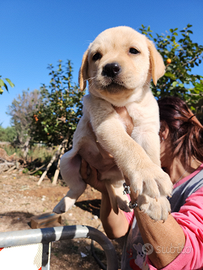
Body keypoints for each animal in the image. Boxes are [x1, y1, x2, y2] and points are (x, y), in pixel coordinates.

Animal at [53, 25, 172, 220]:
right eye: (96, 56)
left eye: (133, 51)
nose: (110, 68)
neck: (124, 102)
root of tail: (104, 176)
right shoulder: (106, 124)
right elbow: (130, 147)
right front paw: (150, 174)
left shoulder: (147, 130)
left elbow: (151, 156)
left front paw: (156, 201)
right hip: (66, 160)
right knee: (79, 186)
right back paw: (63, 204)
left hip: (118, 175)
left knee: (115, 187)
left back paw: (123, 202)